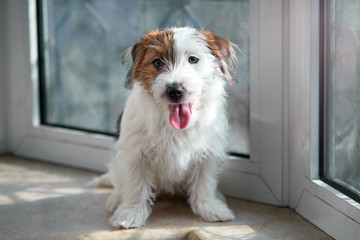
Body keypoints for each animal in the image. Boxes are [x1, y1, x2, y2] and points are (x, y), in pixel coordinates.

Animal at [92, 26, 239, 229]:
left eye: (193, 59)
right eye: (157, 62)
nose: (175, 90)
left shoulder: (208, 154)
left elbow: (204, 182)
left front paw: (209, 208)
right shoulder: (134, 155)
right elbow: (135, 186)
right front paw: (130, 214)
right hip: (116, 163)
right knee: (119, 183)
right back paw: (115, 200)